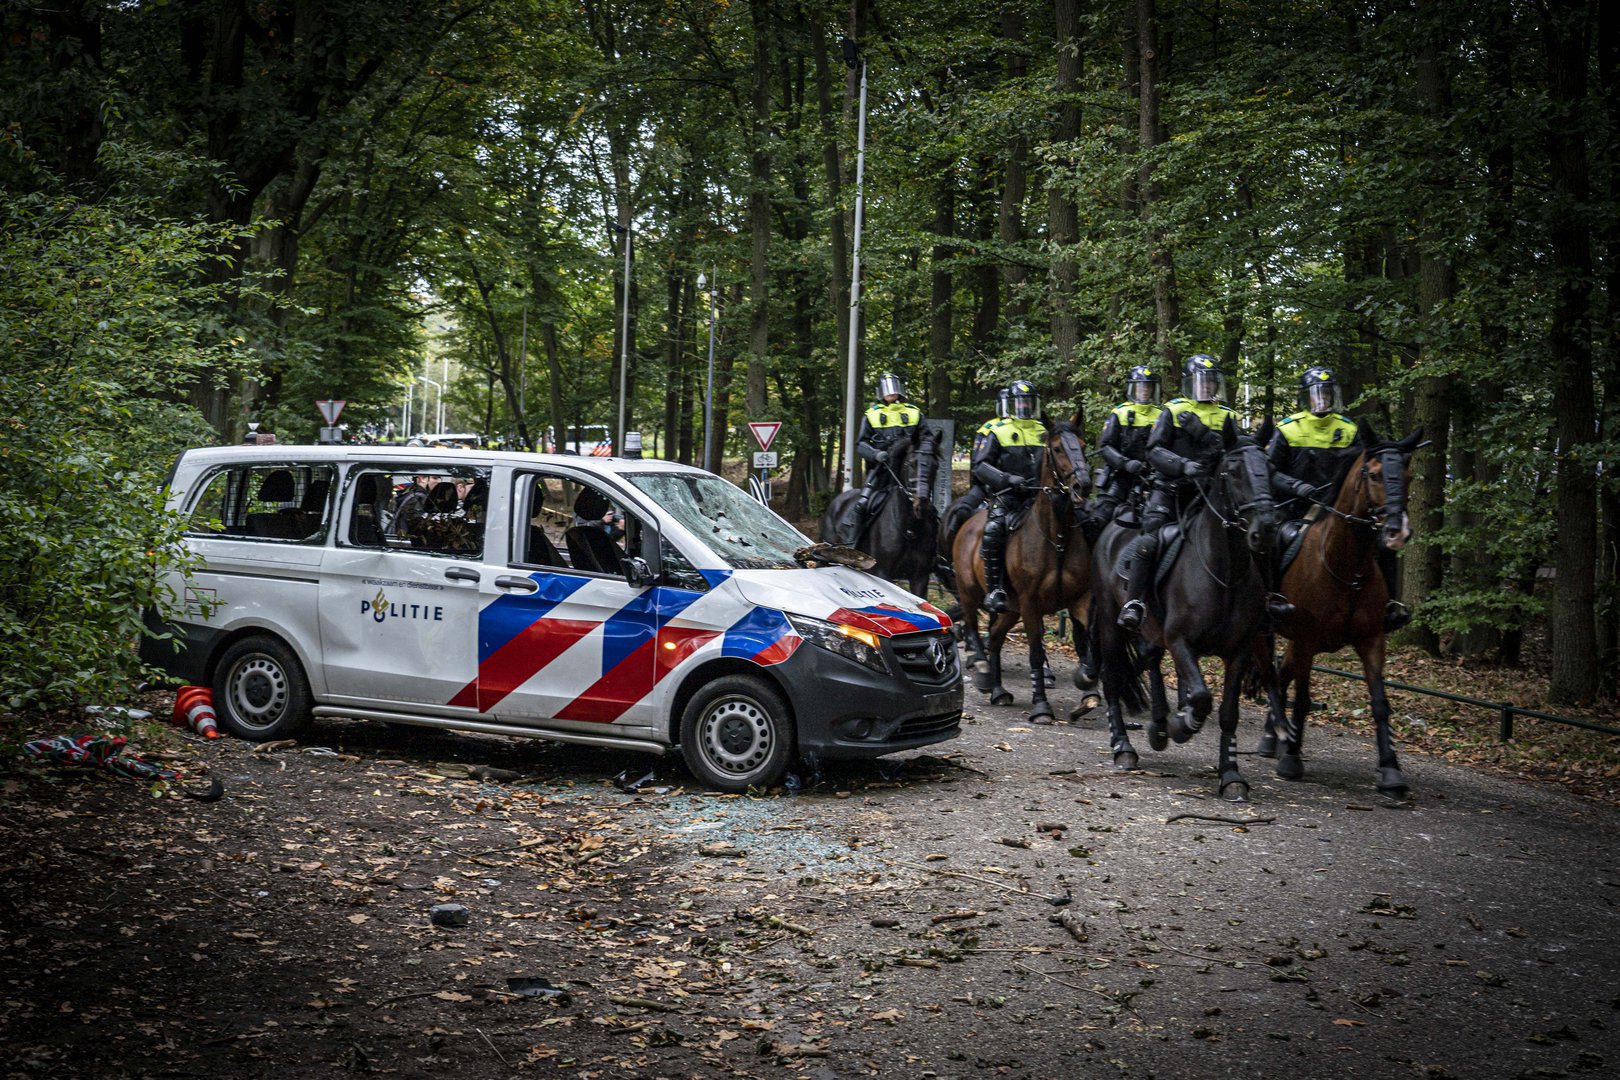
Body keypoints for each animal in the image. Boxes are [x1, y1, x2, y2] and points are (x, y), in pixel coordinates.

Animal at [946, 420, 1095, 718]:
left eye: (1082, 445)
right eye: (1057, 448)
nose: (1082, 484)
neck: (1057, 539)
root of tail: (968, 523)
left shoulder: (1079, 600)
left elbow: (1088, 644)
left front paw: (1088, 687)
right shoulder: (1030, 603)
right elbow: (1036, 652)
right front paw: (1041, 706)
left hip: (1011, 609)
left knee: (995, 637)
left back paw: (998, 690)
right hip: (970, 592)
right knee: (972, 625)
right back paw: (983, 671)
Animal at [1257, 427, 1425, 799]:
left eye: (1408, 476)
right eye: (1374, 474)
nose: (1397, 532)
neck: (1346, 569)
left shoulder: (1372, 640)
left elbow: (1380, 703)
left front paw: (1391, 771)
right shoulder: (1307, 640)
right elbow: (1303, 700)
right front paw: (1292, 761)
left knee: (1281, 675)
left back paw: (1272, 736)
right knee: (1277, 677)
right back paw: (1279, 739)